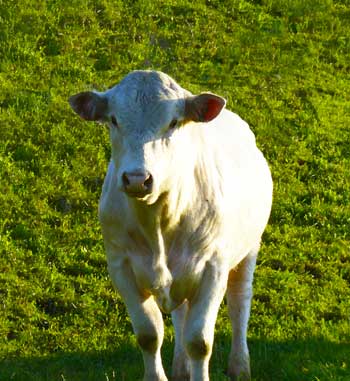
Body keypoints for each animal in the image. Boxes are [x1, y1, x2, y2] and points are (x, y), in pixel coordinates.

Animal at [69, 71, 274, 380]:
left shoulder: (213, 267)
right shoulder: (121, 266)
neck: (158, 224)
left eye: (174, 122)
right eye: (114, 120)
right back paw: (180, 368)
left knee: (240, 302)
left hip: (248, 248)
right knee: (181, 313)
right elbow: (149, 334)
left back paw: (239, 366)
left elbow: (199, 341)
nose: (137, 179)